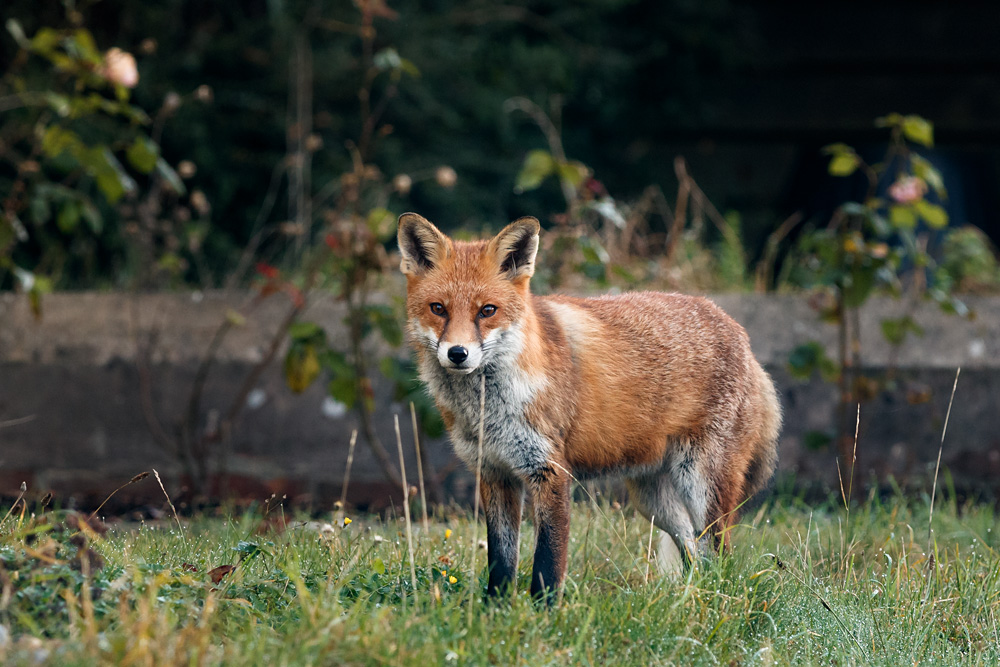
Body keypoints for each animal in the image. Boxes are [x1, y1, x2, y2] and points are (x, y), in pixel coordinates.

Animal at [397, 212, 781, 599]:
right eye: (438, 309)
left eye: (487, 311)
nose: (457, 353)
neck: (487, 410)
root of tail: (742, 337)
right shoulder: (494, 472)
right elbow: (501, 561)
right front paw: (496, 610)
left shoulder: (550, 472)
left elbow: (547, 562)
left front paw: (543, 611)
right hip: (653, 500)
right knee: (691, 547)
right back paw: (688, 597)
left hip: (702, 486)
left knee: (719, 555)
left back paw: (715, 598)